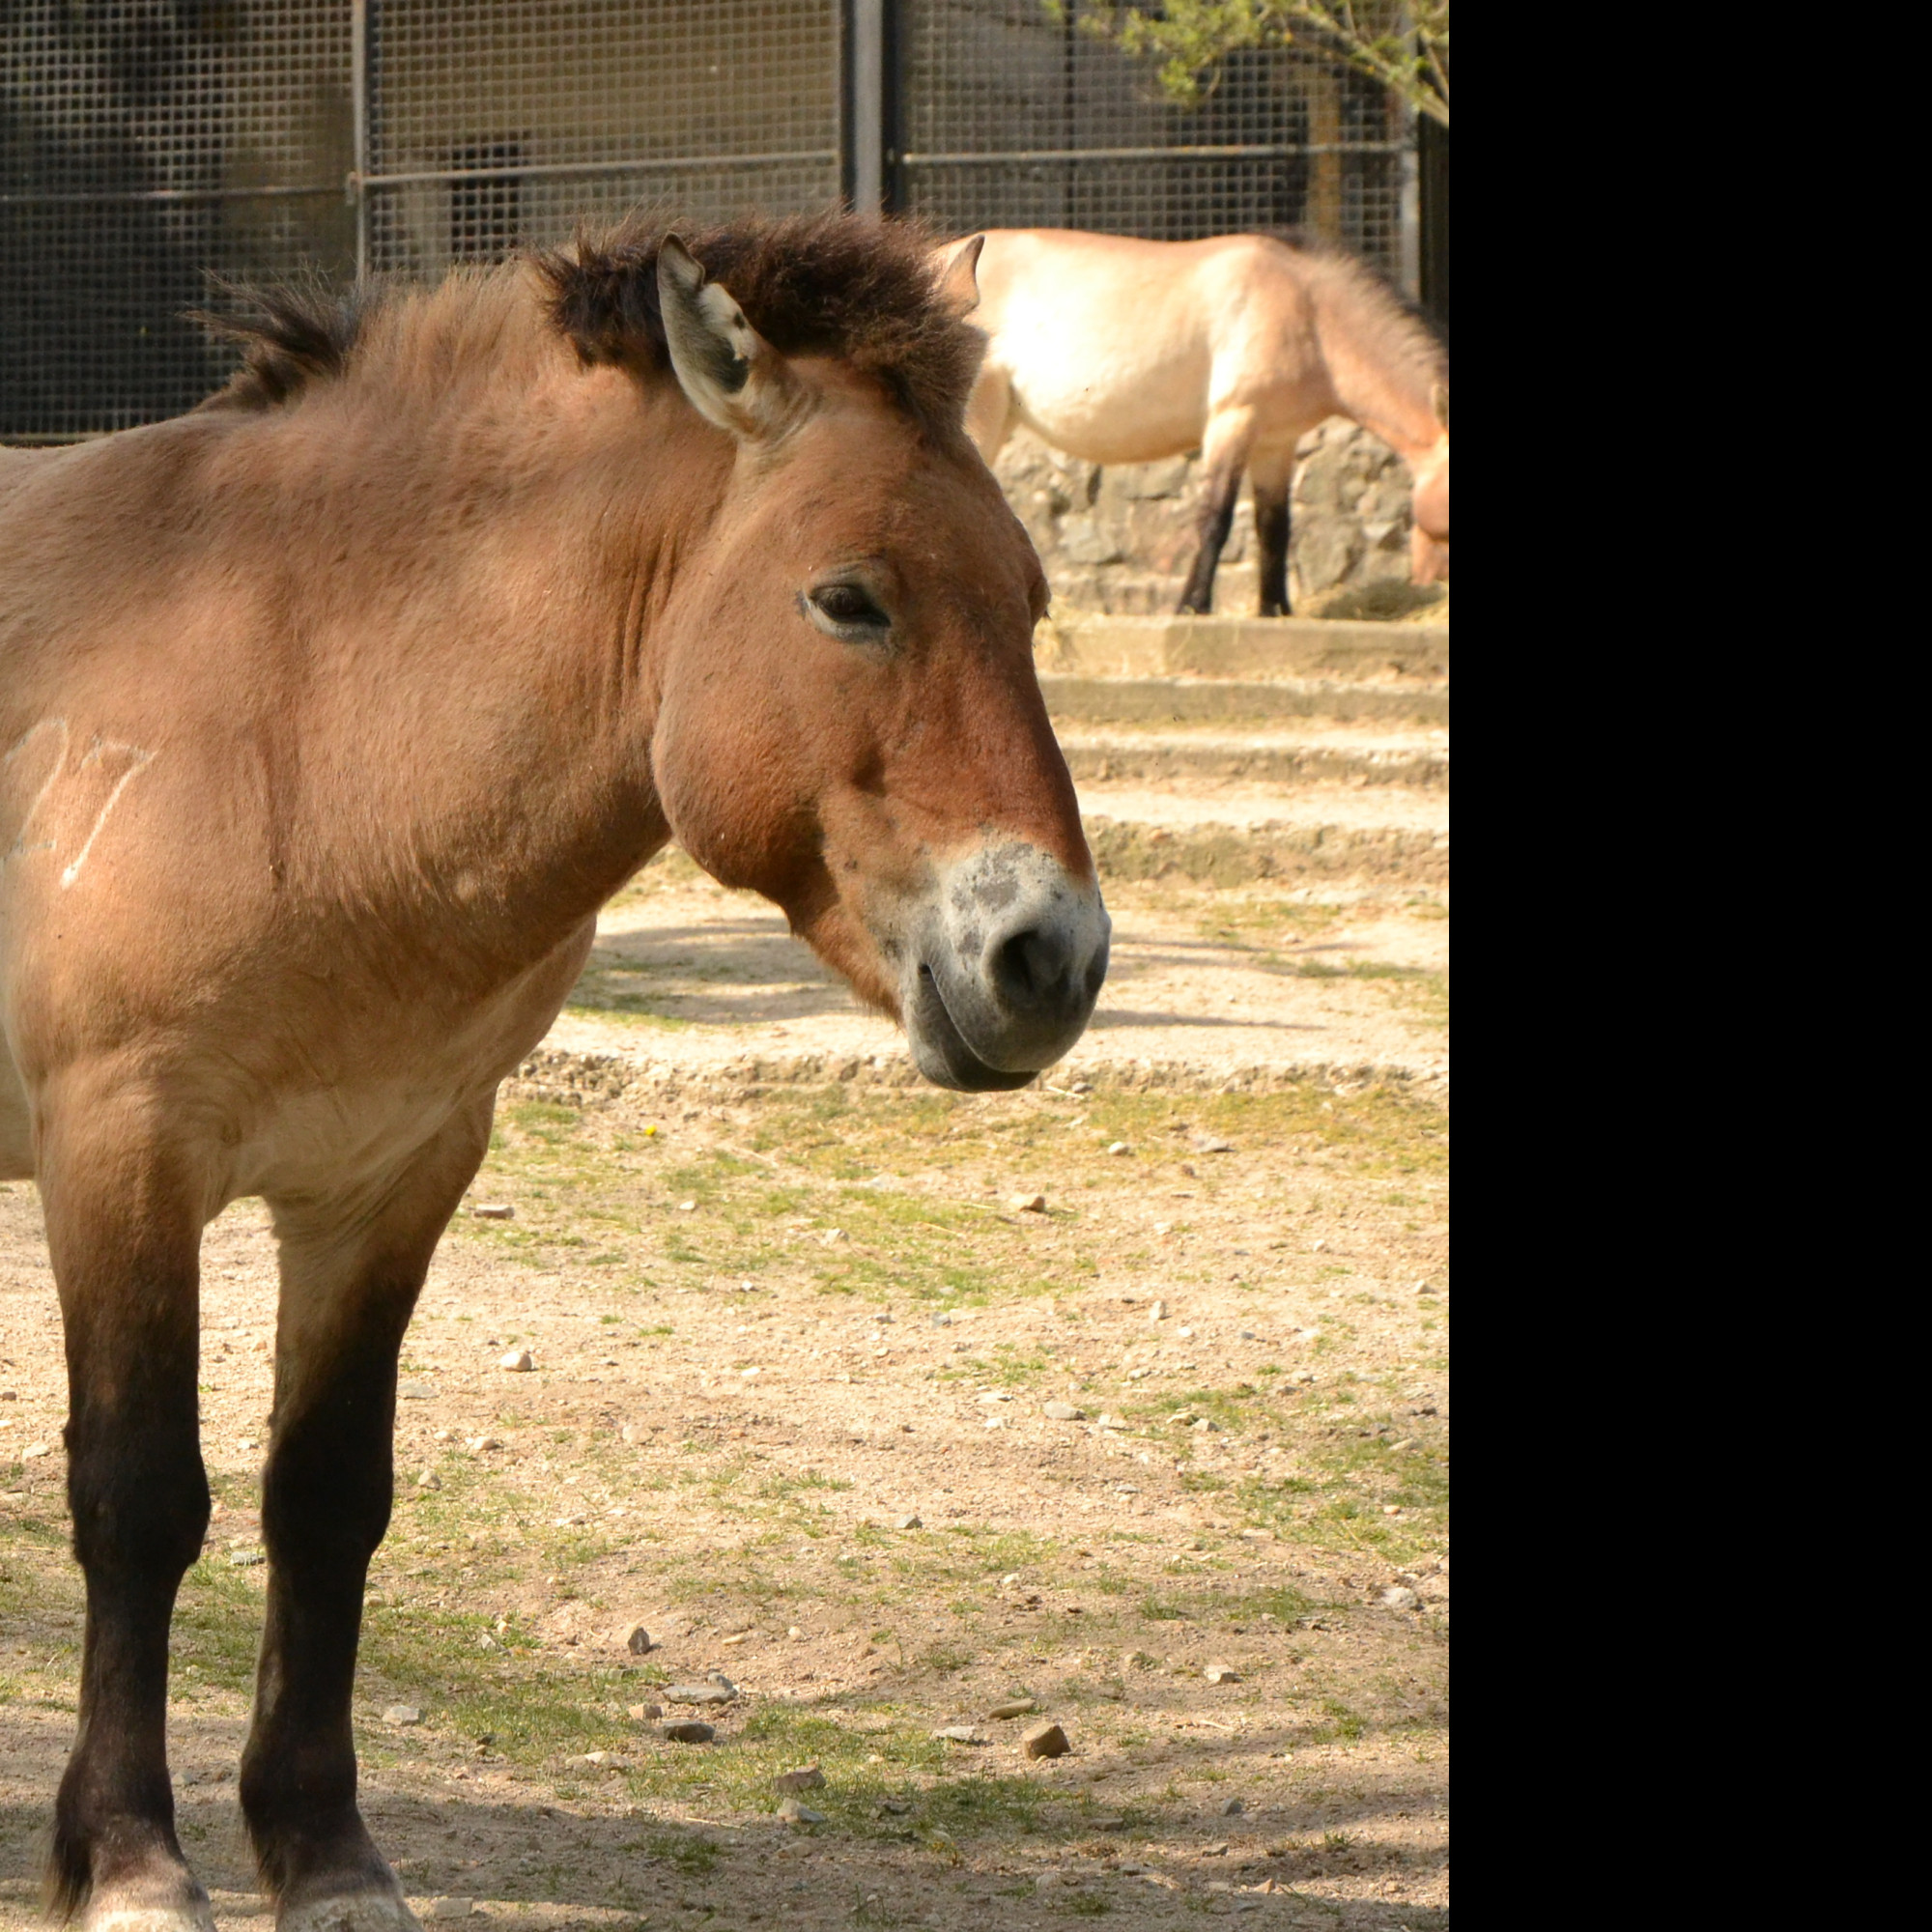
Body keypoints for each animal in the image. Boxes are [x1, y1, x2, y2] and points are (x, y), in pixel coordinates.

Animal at [0, 219, 1113, 1932]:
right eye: (847, 599)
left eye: (1034, 599)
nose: (1048, 958)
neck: (297, 711)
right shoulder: (120, 1152)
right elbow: (138, 1497)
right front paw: (127, 1860)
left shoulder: (394, 1174)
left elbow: (328, 1500)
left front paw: (323, 1851)